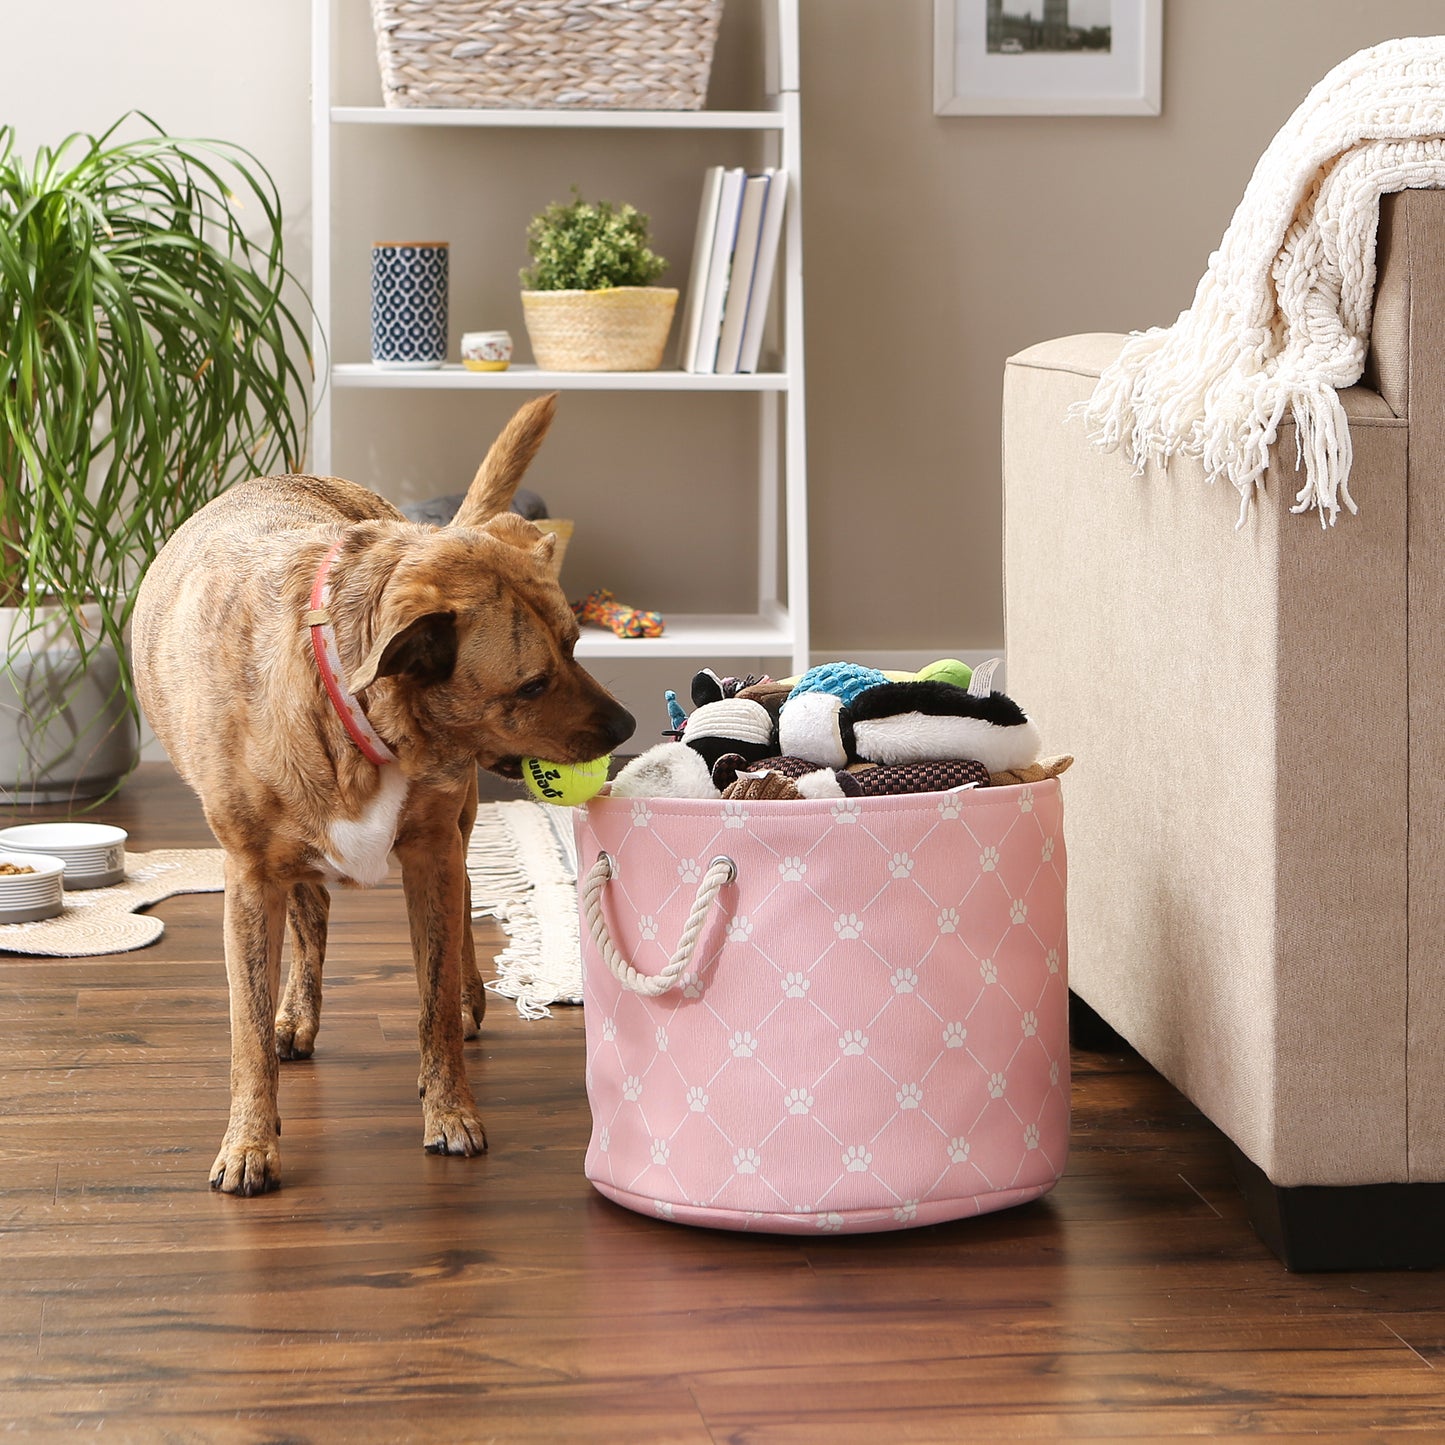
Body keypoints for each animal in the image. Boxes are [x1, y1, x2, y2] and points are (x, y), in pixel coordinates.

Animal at [134, 395, 632, 1196]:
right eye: (531, 684)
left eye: (575, 644)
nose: (628, 727)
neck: (351, 697)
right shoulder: (248, 878)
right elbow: (247, 1032)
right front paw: (249, 1140)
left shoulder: (430, 852)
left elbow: (432, 1003)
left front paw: (450, 1109)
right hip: (290, 863)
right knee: (310, 919)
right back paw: (296, 1014)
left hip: (458, 829)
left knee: (460, 915)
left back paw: (466, 996)